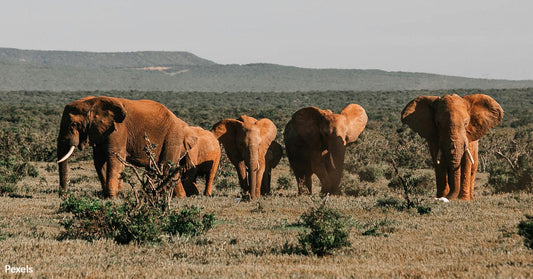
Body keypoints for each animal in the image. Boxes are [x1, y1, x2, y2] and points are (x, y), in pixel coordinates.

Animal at [57, 97, 194, 198]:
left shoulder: (118, 129)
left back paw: (160, 195)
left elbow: (114, 157)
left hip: (173, 135)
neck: (93, 102)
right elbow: (99, 161)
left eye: (74, 124)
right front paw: (106, 195)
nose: (63, 195)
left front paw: (111, 197)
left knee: (166, 166)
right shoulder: (100, 131)